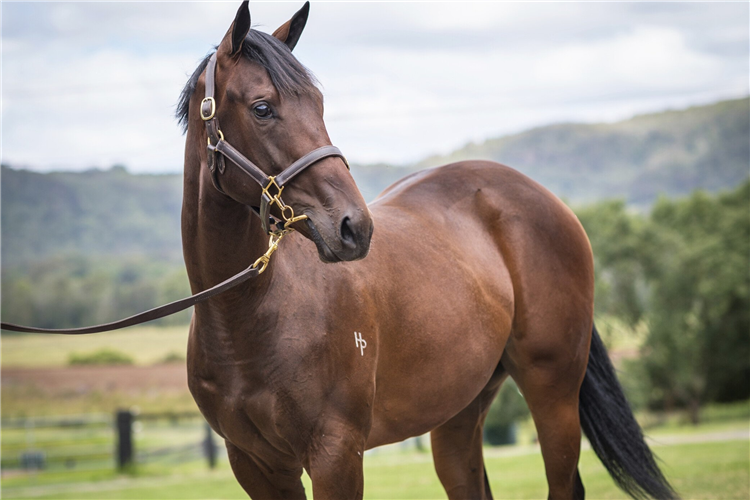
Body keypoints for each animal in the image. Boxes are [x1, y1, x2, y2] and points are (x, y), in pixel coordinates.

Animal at [179, 1, 680, 498]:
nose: (354, 227)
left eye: (319, 104)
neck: (248, 318)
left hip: (553, 394)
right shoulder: (257, 466)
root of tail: (547, 201)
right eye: (262, 108)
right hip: (459, 412)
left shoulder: (336, 454)